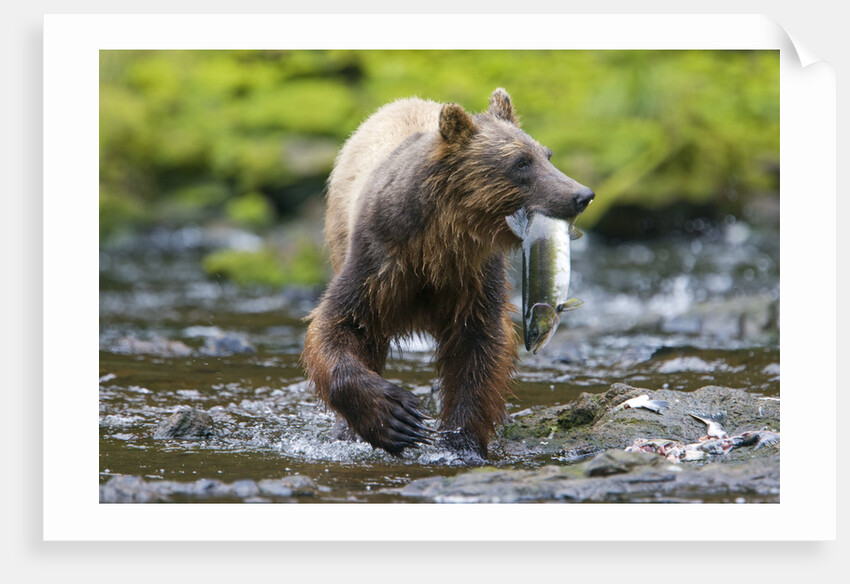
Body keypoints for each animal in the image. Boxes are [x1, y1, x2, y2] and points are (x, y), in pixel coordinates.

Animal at [301, 88, 594, 459]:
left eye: (547, 155)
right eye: (520, 162)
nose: (581, 194)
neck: (438, 245)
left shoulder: (474, 278)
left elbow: (478, 352)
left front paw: (460, 440)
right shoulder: (378, 261)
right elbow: (338, 325)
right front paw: (396, 417)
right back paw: (348, 430)